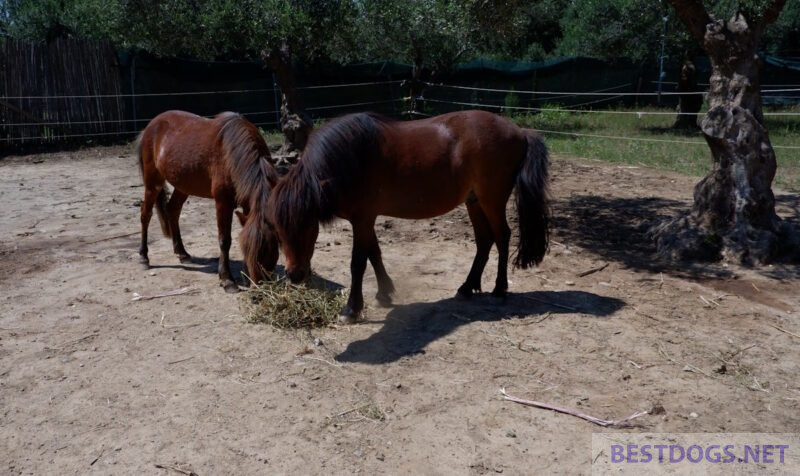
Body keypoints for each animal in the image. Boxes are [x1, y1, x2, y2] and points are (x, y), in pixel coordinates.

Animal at [140, 111, 282, 292]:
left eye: (273, 247)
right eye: (247, 248)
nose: (260, 285)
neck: (232, 155)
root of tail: (152, 124)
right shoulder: (223, 202)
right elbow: (224, 240)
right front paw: (227, 279)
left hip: (183, 186)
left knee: (173, 210)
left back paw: (182, 253)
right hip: (153, 183)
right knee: (146, 214)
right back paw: (144, 257)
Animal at [268, 109, 552, 322]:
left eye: (308, 225)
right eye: (277, 229)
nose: (295, 275)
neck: (349, 160)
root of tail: (519, 131)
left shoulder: (362, 219)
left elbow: (358, 262)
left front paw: (351, 309)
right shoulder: (366, 219)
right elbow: (375, 253)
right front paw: (385, 293)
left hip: (491, 200)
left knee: (502, 237)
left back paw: (499, 289)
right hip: (474, 202)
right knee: (484, 241)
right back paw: (467, 287)